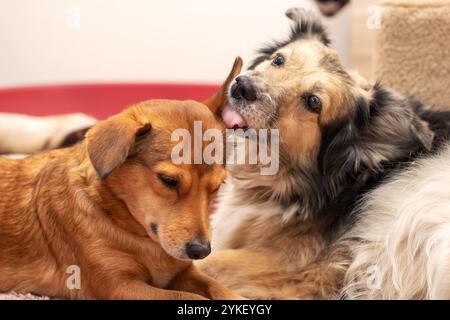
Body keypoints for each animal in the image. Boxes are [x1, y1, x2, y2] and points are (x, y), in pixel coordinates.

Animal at [0, 58, 243, 300]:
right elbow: (188, 297)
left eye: (218, 186)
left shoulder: (183, 272)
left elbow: (218, 287)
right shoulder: (120, 286)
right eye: (168, 180)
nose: (202, 251)